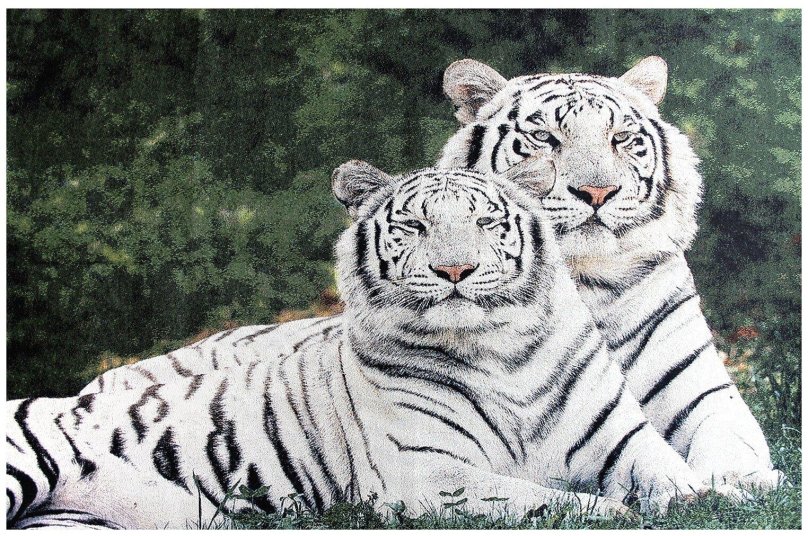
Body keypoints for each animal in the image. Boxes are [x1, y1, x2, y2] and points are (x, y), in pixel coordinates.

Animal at [7, 163, 739, 529]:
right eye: (415, 227)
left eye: (486, 222)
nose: (454, 270)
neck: (501, 351)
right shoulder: (427, 473)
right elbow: (539, 499)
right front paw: (609, 510)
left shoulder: (624, 439)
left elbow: (671, 474)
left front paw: (717, 497)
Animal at [436, 56, 783, 490]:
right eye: (544, 138)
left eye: (620, 138)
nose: (597, 192)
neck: (588, 279)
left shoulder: (706, 390)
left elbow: (728, 440)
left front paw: (736, 484)